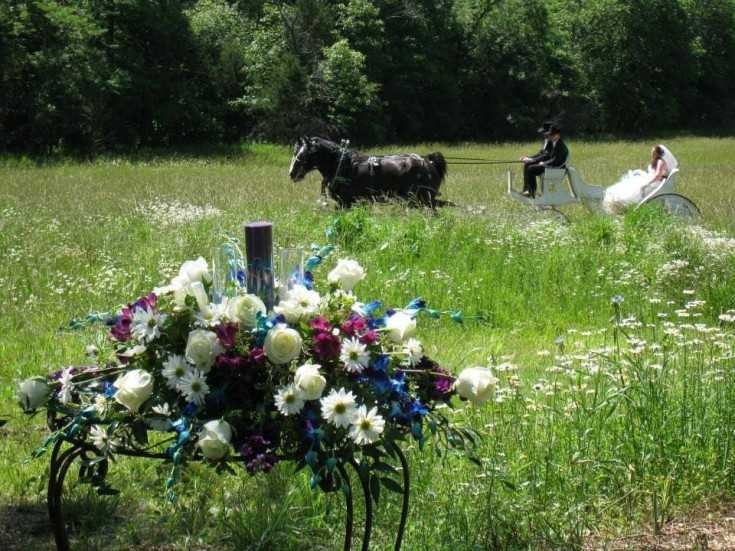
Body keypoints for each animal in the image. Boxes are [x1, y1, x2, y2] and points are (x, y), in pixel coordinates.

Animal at [288, 136, 448, 209]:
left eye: (304, 154)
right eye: (295, 152)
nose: (291, 173)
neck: (342, 165)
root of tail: (429, 161)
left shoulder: (345, 202)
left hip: (422, 201)